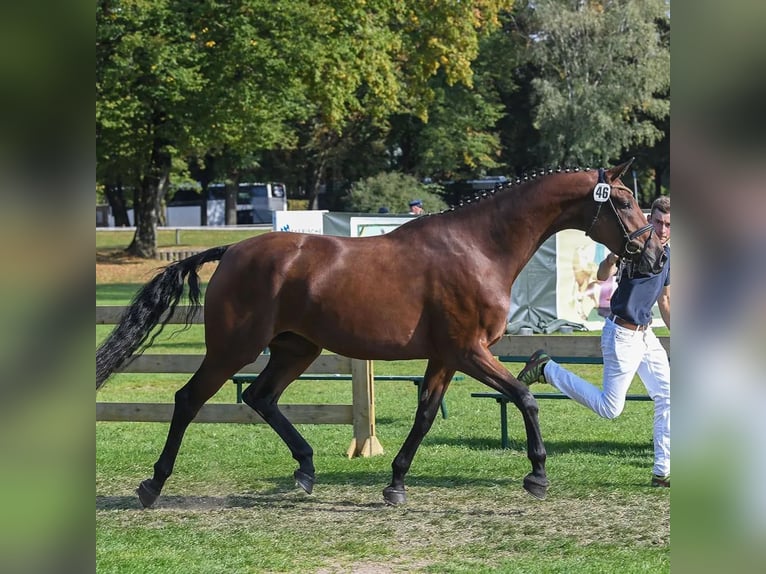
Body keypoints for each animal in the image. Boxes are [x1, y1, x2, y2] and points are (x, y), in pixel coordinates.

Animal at [97, 160, 664, 506]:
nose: (654, 254)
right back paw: (153, 484)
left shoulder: (445, 356)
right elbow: (524, 397)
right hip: (232, 348)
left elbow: (426, 414)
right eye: (624, 201)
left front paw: (395, 482)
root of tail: (233, 250)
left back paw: (305, 469)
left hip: (296, 349)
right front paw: (537, 475)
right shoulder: (469, 350)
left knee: (260, 397)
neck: (479, 246)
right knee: (190, 399)